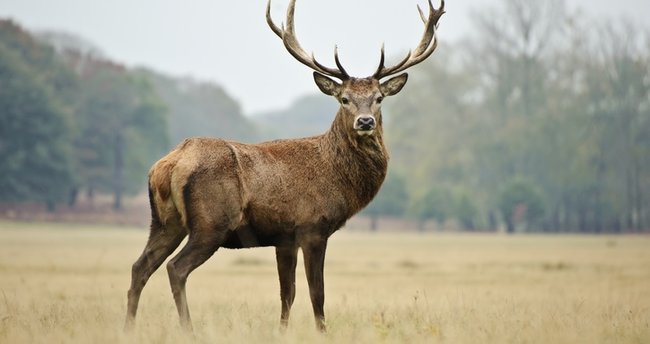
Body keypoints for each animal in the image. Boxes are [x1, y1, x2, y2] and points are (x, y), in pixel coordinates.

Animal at [124, 0, 442, 334]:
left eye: (379, 98)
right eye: (344, 99)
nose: (365, 121)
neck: (337, 177)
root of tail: (169, 163)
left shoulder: (284, 238)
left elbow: (287, 293)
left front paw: (282, 331)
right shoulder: (313, 226)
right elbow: (317, 293)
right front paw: (322, 333)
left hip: (164, 221)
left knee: (139, 267)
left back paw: (129, 327)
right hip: (211, 223)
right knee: (176, 268)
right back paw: (189, 329)